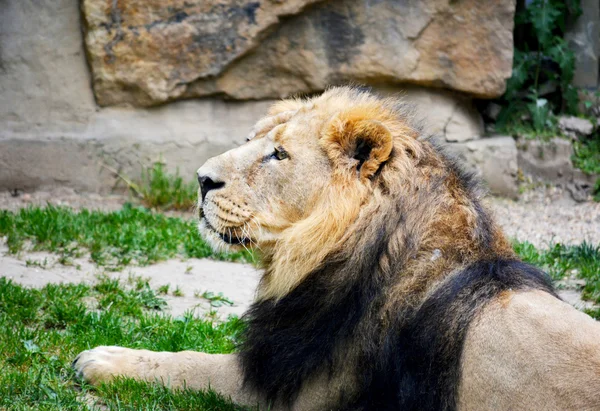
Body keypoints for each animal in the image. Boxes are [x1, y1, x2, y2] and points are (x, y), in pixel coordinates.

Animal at [74, 87, 600, 411]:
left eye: (278, 154)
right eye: (250, 140)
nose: (202, 179)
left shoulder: (289, 390)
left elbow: (185, 363)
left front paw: (102, 360)